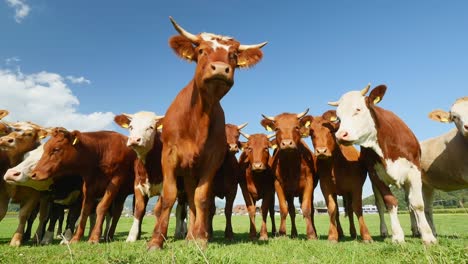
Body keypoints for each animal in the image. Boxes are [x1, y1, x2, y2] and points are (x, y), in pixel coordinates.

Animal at [148, 17, 266, 250]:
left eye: (233, 55)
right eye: (201, 50)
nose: (220, 68)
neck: (198, 118)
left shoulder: (212, 160)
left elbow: (202, 199)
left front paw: (201, 238)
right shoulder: (169, 156)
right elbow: (168, 197)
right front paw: (156, 240)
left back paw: (193, 235)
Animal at [260, 109, 318, 239]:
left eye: (296, 127)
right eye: (277, 129)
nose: (287, 143)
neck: (291, 164)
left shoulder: (309, 183)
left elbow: (307, 209)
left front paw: (311, 234)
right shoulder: (278, 184)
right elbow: (283, 209)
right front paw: (282, 233)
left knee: (310, 210)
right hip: (290, 194)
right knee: (291, 211)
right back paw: (294, 233)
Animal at [300, 110, 372, 242]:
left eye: (331, 131)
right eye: (312, 132)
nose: (321, 151)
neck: (336, 166)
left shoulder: (356, 186)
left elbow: (358, 208)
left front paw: (366, 236)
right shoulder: (325, 187)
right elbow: (332, 209)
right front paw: (333, 236)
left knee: (350, 209)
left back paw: (353, 233)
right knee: (339, 211)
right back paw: (341, 233)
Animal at [328, 84, 436, 245]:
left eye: (358, 109)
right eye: (338, 118)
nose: (340, 135)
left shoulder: (414, 171)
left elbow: (417, 204)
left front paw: (428, 236)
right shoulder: (375, 175)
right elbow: (389, 202)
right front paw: (397, 236)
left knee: (409, 203)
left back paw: (416, 230)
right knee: (379, 205)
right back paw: (385, 231)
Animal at [410, 96, 468, 235]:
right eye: (454, 117)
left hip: (427, 185)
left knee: (427, 208)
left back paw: (432, 231)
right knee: (411, 207)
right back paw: (416, 231)